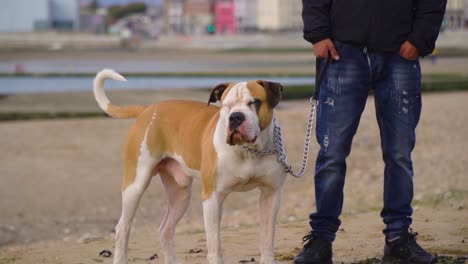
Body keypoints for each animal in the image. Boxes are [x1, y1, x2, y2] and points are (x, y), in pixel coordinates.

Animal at [93, 69, 286, 264]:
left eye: (254, 102)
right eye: (226, 105)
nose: (236, 117)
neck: (248, 151)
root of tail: (148, 109)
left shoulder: (271, 194)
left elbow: (267, 240)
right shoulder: (212, 197)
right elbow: (214, 245)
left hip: (180, 193)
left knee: (165, 229)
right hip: (135, 184)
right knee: (122, 228)